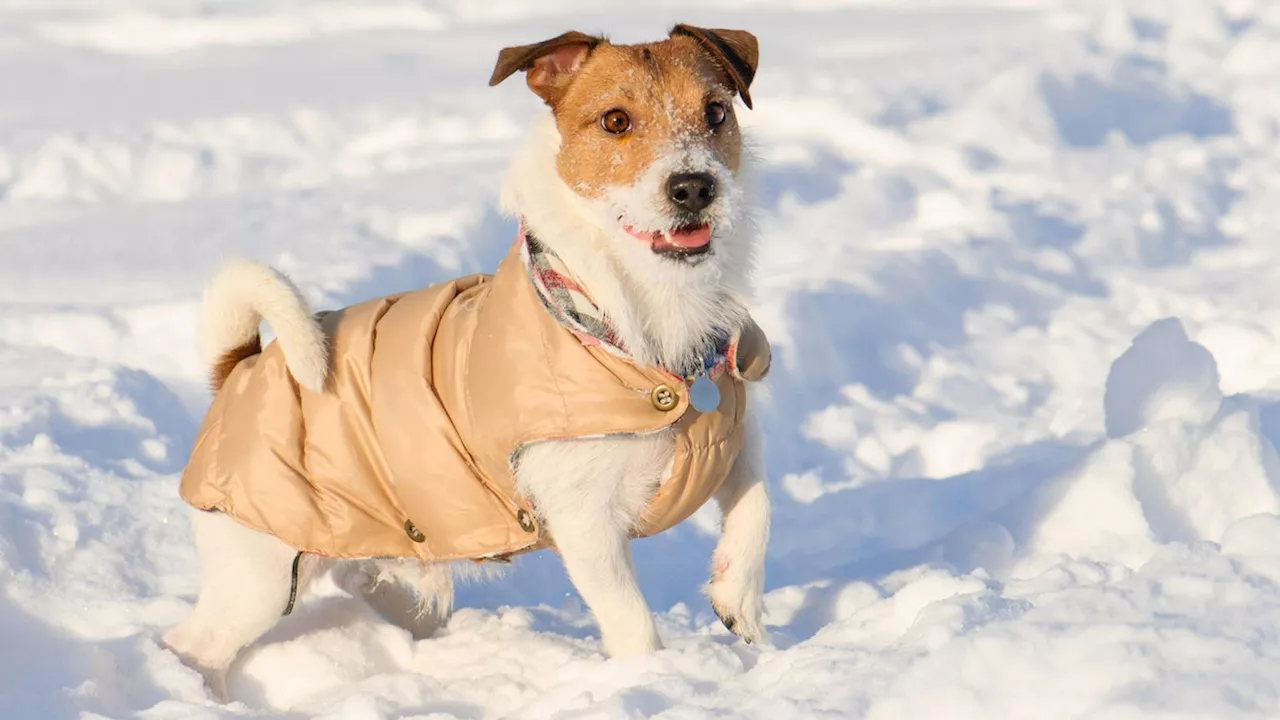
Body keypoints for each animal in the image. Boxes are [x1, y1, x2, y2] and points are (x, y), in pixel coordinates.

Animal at [161, 23, 768, 696]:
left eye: (716, 112)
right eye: (615, 120)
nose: (694, 186)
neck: (634, 321)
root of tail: (239, 368)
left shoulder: (732, 442)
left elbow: (757, 508)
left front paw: (738, 603)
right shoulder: (584, 522)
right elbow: (631, 618)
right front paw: (655, 676)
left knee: (356, 574)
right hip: (260, 573)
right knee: (194, 643)